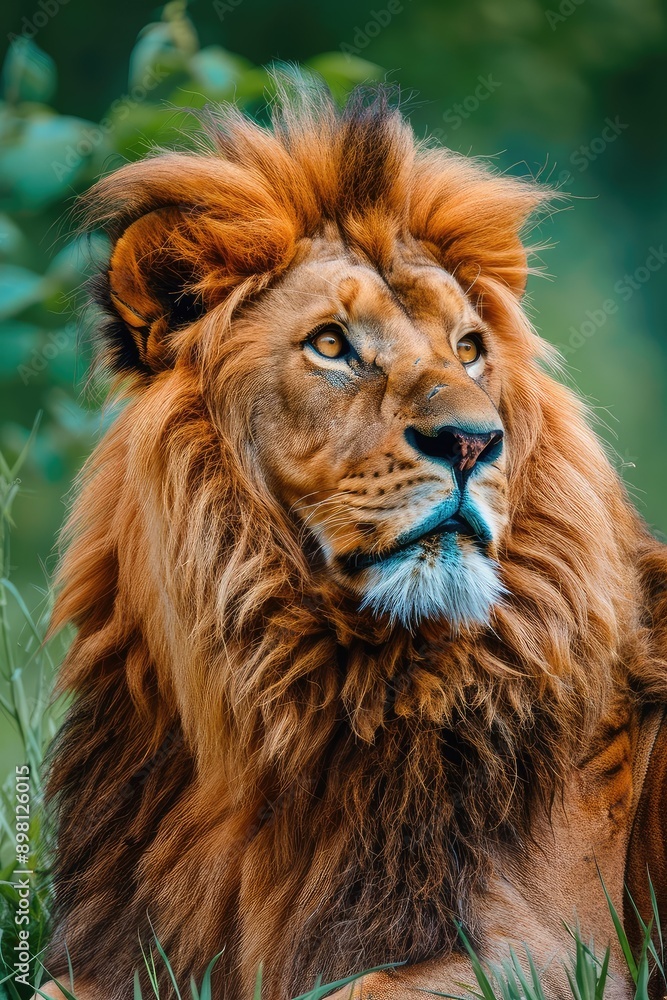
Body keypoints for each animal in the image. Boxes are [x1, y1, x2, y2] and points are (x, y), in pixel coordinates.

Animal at [43, 79, 667, 1000]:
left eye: (468, 349)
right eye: (332, 345)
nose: (473, 442)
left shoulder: (560, 953)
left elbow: (353, 987)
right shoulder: (116, 949)